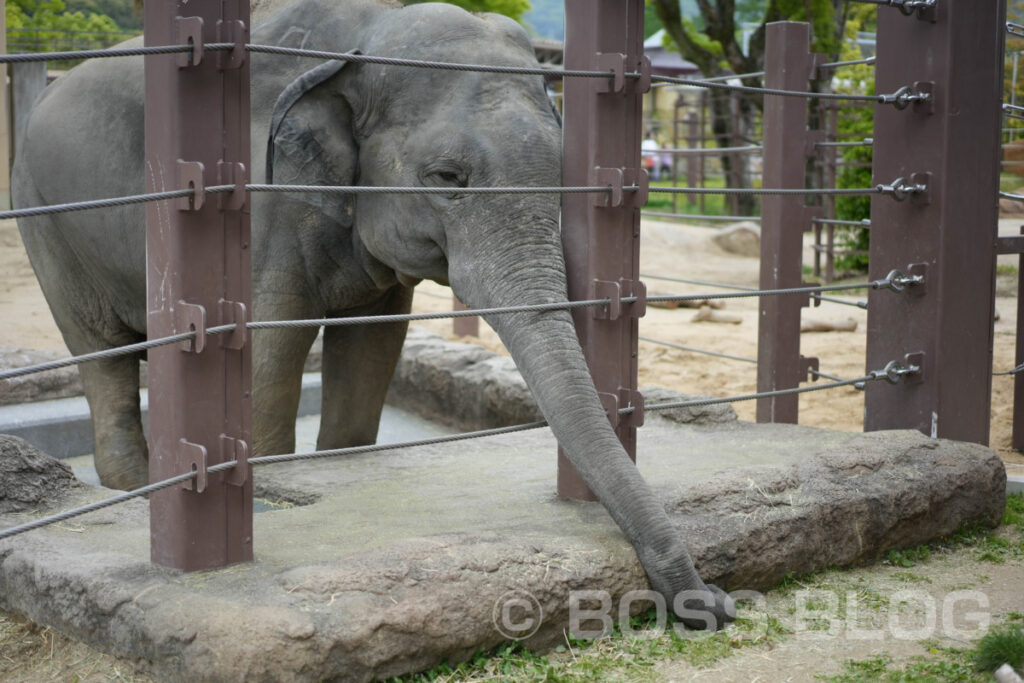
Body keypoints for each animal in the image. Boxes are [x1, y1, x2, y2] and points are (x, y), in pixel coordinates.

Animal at [14, 0, 737, 630]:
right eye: (447, 177)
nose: (717, 604)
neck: (366, 37)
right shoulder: (258, 194)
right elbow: (272, 346)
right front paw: (275, 480)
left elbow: (373, 345)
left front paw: (339, 459)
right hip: (43, 217)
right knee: (100, 349)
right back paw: (133, 485)